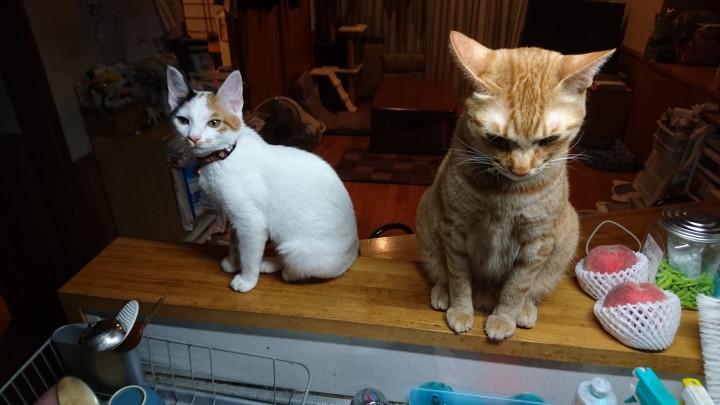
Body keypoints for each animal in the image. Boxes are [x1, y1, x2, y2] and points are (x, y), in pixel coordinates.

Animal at [166, 66, 359, 292]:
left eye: (214, 123)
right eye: (183, 121)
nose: (193, 138)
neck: (224, 155)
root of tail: (353, 254)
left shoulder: (251, 222)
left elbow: (249, 253)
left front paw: (247, 279)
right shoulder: (233, 215)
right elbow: (235, 242)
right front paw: (233, 262)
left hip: (299, 250)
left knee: (295, 269)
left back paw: (278, 268)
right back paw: (269, 263)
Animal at [416, 31, 614, 340]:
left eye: (548, 140)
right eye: (497, 139)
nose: (521, 169)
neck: (506, 194)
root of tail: (484, 298)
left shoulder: (536, 242)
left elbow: (517, 287)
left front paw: (504, 318)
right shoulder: (455, 230)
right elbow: (459, 278)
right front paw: (461, 310)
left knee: (533, 289)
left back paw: (524, 310)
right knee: (441, 273)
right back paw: (443, 293)